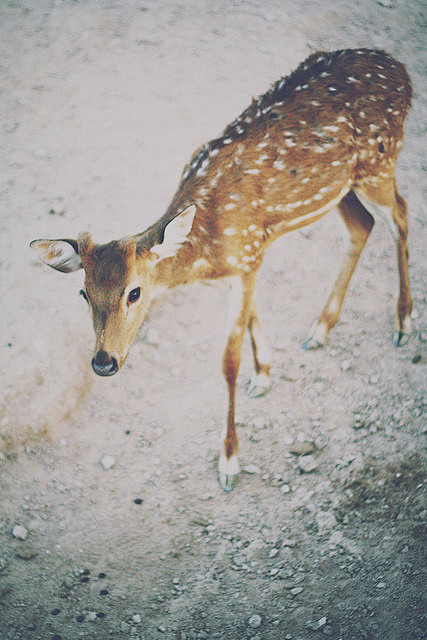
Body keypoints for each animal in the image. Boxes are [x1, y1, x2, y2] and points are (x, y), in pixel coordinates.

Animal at [31, 50, 412, 490]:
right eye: (84, 293)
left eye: (135, 292)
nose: (103, 362)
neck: (206, 250)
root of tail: (401, 71)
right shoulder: (250, 258)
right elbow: (254, 315)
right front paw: (264, 374)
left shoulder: (246, 256)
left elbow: (229, 362)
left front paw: (229, 460)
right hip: (342, 185)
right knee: (362, 225)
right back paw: (319, 330)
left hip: (380, 160)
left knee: (400, 214)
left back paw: (404, 323)